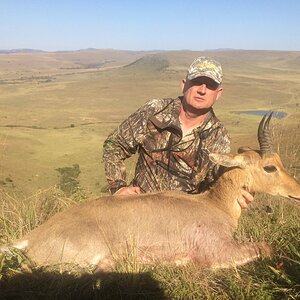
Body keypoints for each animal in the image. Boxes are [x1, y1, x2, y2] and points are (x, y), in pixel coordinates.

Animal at [0, 115, 300, 270]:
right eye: (270, 166)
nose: (296, 192)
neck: (213, 204)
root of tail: (32, 237)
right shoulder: (218, 253)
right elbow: (266, 246)